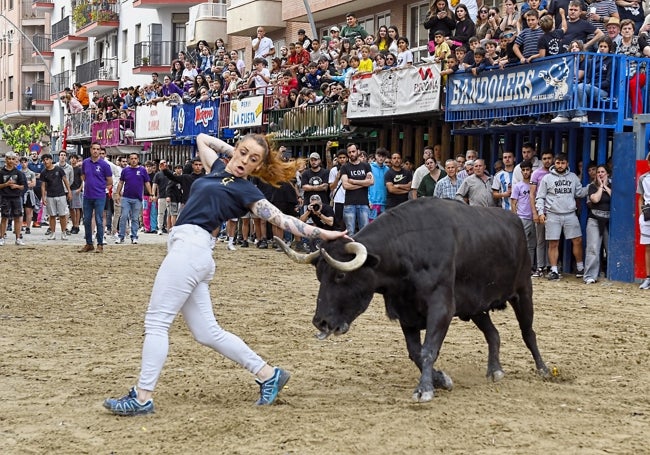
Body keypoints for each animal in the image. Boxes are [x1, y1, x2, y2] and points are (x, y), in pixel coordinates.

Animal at [278, 199, 548, 402]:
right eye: (318, 276)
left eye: (340, 275)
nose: (320, 322)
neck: (408, 251)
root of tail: (513, 220)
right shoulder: (405, 314)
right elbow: (415, 353)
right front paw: (441, 380)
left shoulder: (441, 308)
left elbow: (428, 350)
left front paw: (424, 389)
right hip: (474, 307)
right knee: (493, 334)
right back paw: (495, 369)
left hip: (523, 291)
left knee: (528, 333)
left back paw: (543, 369)